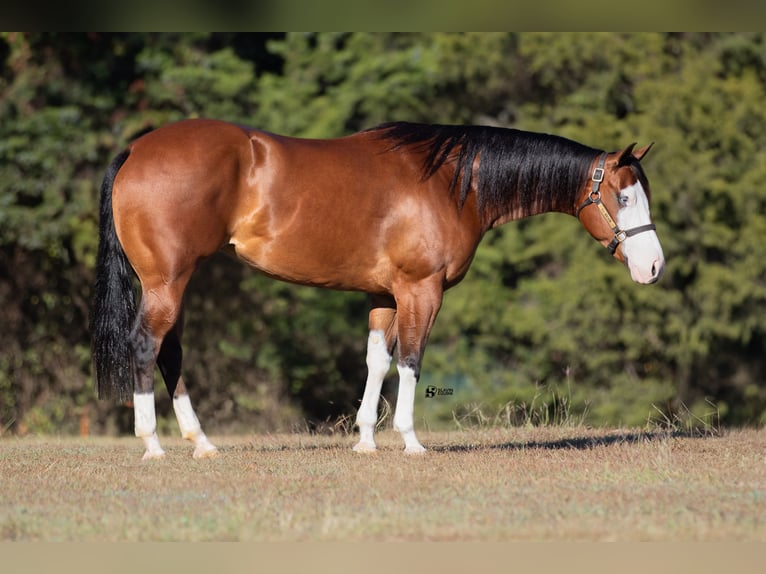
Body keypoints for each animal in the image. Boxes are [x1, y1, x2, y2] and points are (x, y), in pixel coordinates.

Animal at [91, 119, 664, 462]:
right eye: (624, 196)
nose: (654, 266)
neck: (453, 183)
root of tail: (136, 149)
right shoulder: (421, 290)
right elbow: (411, 359)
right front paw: (409, 440)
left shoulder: (384, 296)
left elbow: (377, 361)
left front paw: (365, 439)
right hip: (166, 282)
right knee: (146, 345)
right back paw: (153, 444)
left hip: (178, 281)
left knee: (171, 354)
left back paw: (202, 443)